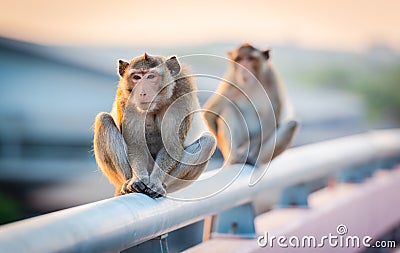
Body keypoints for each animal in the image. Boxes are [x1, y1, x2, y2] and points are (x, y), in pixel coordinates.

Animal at [93, 53, 216, 199]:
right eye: (136, 77)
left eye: (151, 77)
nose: (142, 92)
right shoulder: (126, 99)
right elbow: (135, 144)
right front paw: (137, 179)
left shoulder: (182, 94)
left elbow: (171, 145)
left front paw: (156, 182)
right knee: (103, 120)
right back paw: (128, 184)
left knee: (208, 141)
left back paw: (162, 185)